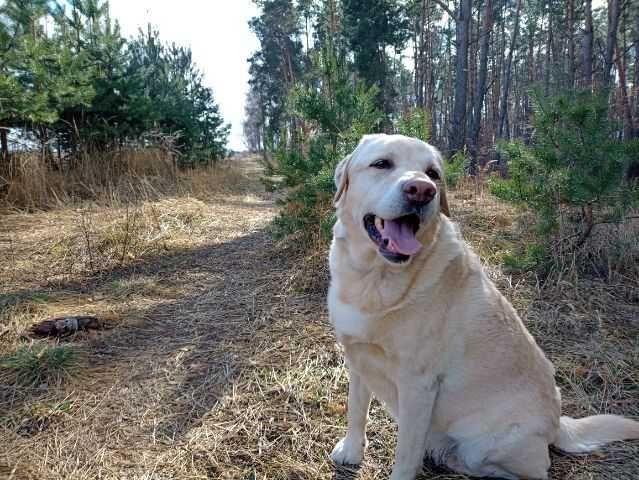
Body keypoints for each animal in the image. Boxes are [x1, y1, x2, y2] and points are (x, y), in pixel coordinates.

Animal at [330, 134, 639, 480]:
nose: (422, 190)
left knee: (528, 470)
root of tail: (558, 424)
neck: (373, 278)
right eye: (382, 163)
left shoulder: (418, 385)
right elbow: (356, 409)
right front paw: (352, 450)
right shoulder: (358, 358)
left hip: (487, 446)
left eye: (433, 174)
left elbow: (406, 455)